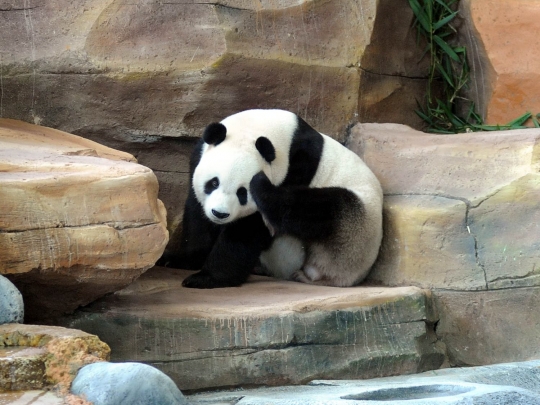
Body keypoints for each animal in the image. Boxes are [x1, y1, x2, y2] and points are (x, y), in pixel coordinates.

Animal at [169, 109, 384, 288]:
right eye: (213, 183)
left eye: (242, 193)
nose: (219, 214)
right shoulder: (198, 158)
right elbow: (196, 214)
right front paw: (183, 259)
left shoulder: (297, 168)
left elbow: (251, 228)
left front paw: (207, 278)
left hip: (355, 227)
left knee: (319, 209)